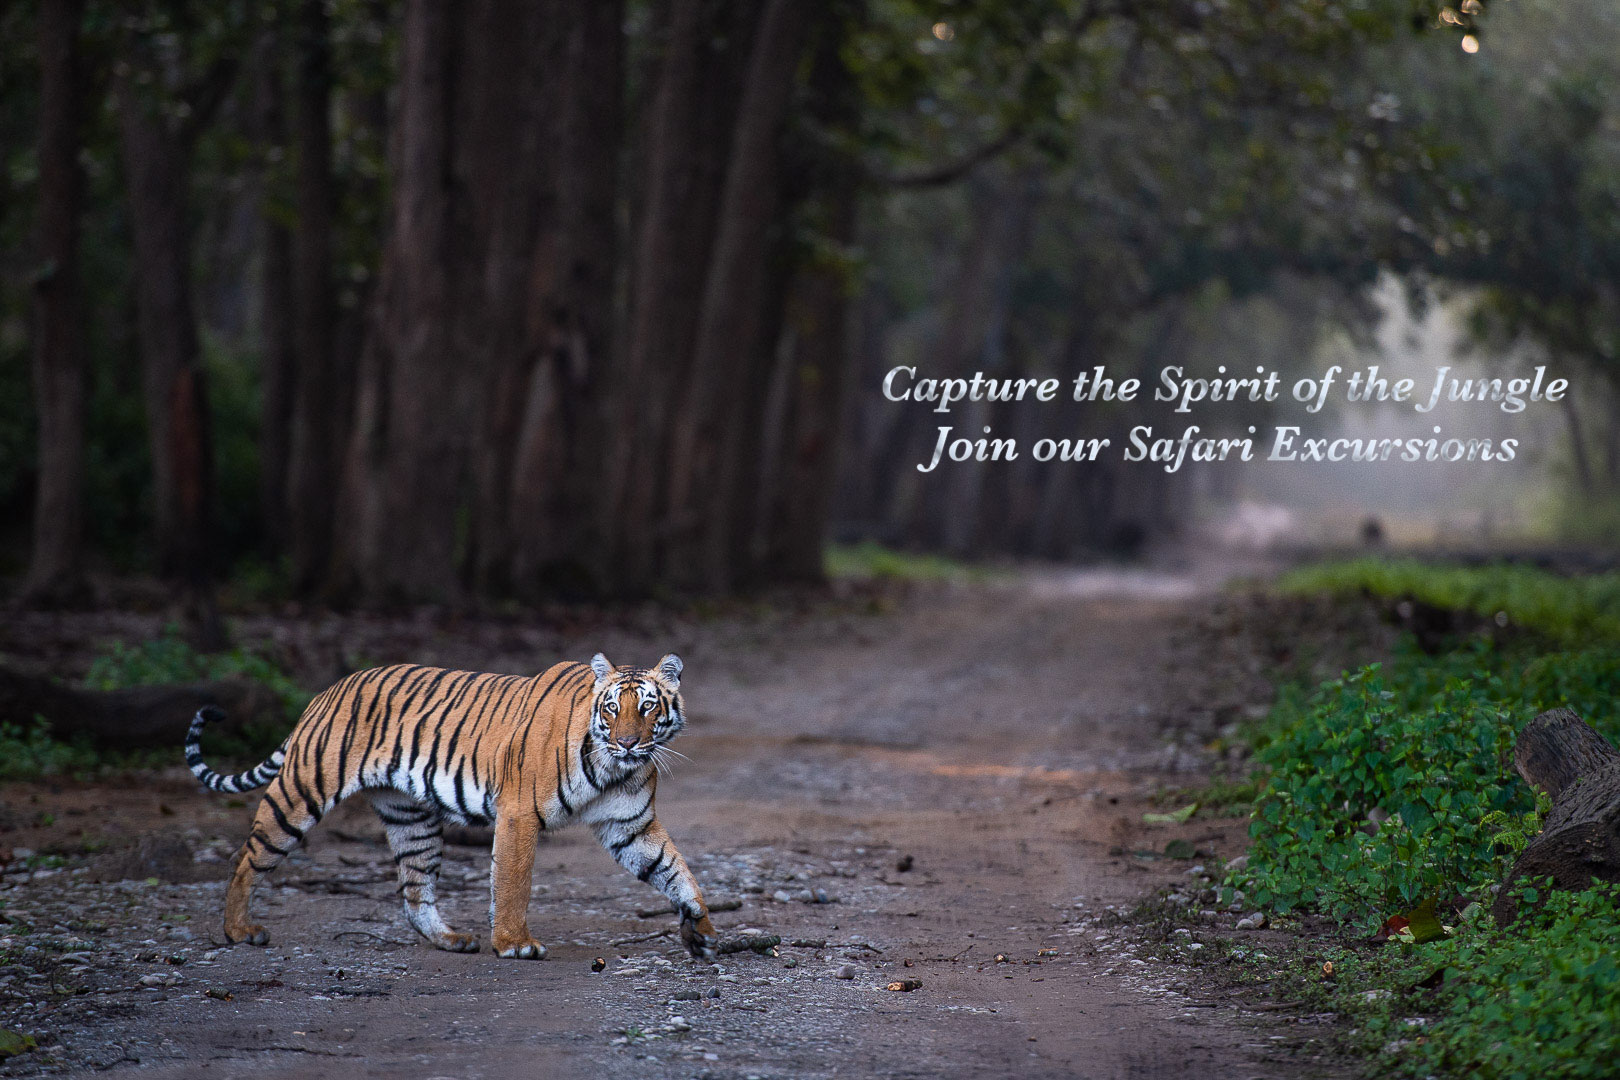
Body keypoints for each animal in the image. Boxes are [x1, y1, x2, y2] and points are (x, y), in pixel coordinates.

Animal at [183, 652, 718, 960]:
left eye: (648, 707)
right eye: (612, 708)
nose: (628, 742)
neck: (613, 767)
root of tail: (327, 690)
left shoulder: (630, 825)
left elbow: (675, 869)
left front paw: (702, 928)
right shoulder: (519, 813)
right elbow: (514, 881)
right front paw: (515, 943)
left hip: (411, 818)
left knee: (414, 891)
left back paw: (450, 940)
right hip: (301, 791)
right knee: (247, 857)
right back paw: (238, 930)